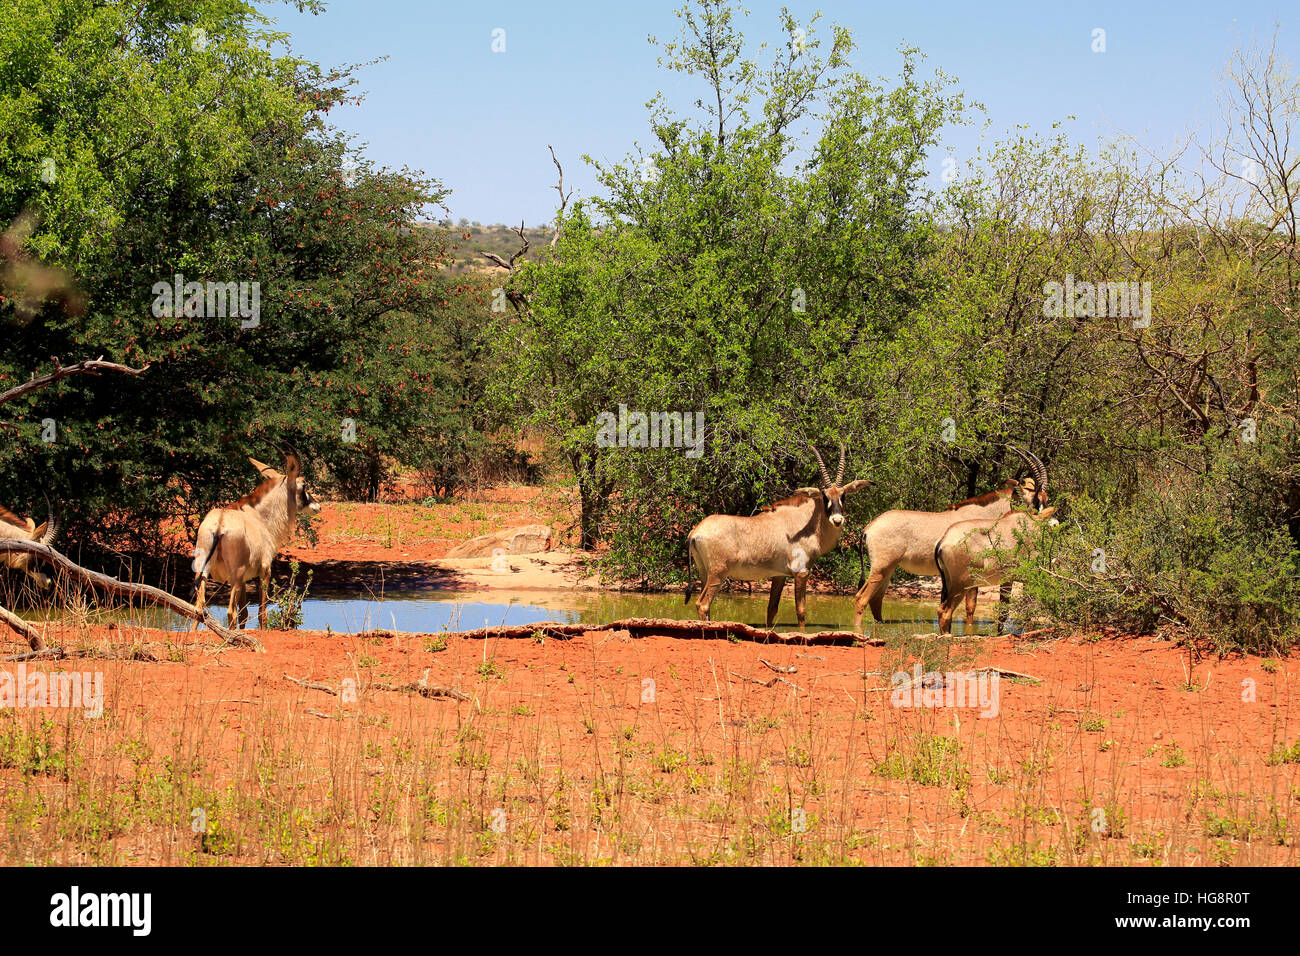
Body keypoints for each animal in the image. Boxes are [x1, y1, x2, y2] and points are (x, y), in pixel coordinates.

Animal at [191, 455, 321, 632]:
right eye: (304, 484)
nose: (317, 506)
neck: (258, 517)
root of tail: (220, 523)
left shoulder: (244, 581)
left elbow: (245, 613)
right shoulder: (265, 571)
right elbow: (261, 612)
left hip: (205, 572)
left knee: (199, 606)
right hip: (235, 575)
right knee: (231, 612)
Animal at [681, 447, 873, 632]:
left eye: (843, 495)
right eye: (824, 496)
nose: (837, 520)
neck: (804, 523)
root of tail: (695, 532)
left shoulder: (779, 575)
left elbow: (771, 610)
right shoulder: (801, 573)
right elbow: (801, 611)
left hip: (705, 573)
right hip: (718, 575)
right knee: (703, 604)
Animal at [935, 502, 1055, 634]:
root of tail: (943, 541)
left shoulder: (1007, 580)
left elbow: (1003, 612)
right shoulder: (1028, 579)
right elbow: (1029, 610)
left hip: (949, 584)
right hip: (961, 585)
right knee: (944, 611)